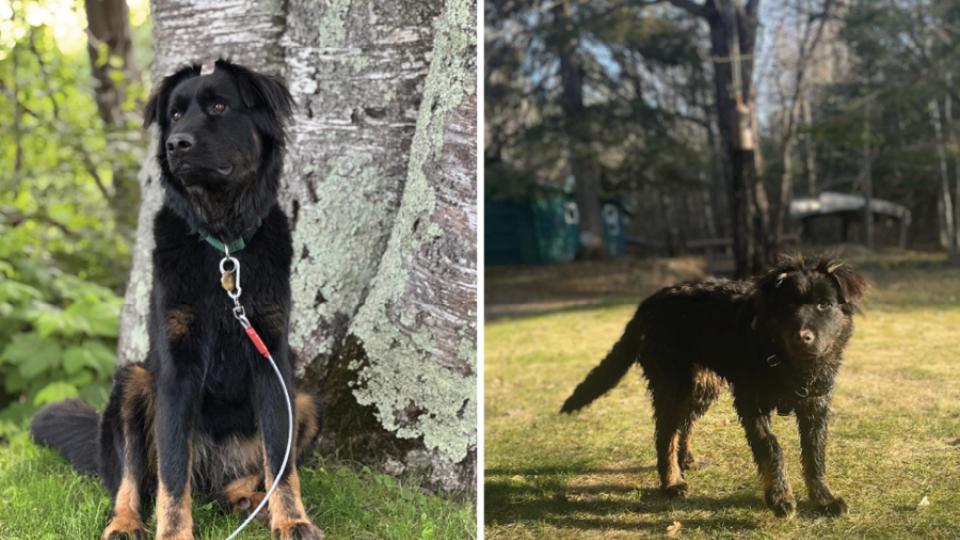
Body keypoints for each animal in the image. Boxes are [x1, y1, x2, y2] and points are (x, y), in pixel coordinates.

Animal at [31, 60, 322, 540]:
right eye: (175, 115)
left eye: (219, 106)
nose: (175, 145)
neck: (223, 246)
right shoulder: (174, 371)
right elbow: (170, 473)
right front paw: (172, 533)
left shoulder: (273, 362)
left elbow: (281, 458)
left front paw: (292, 519)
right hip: (132, 384)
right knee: (129, 481)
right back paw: (125, 523)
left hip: (306, 403)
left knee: (249, 472)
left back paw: (248, 498)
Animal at [564, 258, 872, 520]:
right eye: (788, 307)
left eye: (824, 305)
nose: (803, 337)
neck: (785, 360)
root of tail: (651, 301)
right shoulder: (751, 403)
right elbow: (771, 447)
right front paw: (780, 497)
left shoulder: (816, 406)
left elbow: (814, 454)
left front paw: (823, 498)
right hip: (674, 385)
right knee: (665, 434)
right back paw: (672, 481)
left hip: (702, 387)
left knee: (684, 423)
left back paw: (686, 460)